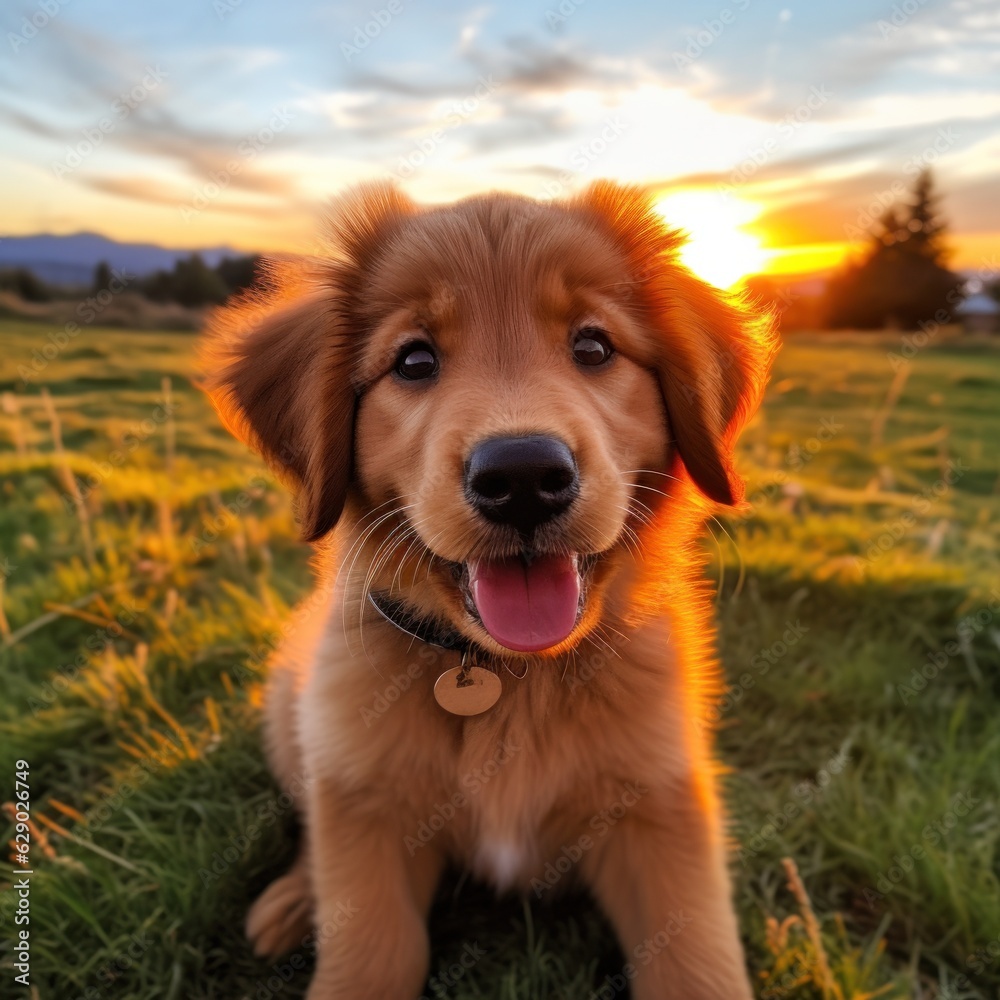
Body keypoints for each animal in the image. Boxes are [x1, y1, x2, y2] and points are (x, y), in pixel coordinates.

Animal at [203, 182, 776, 1000]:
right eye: (414, 360)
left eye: (594, 347)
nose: (524, 476)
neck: (510, 677)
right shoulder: (365, 812)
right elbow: (370, 952)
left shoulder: (664, 809)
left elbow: (696, 962)